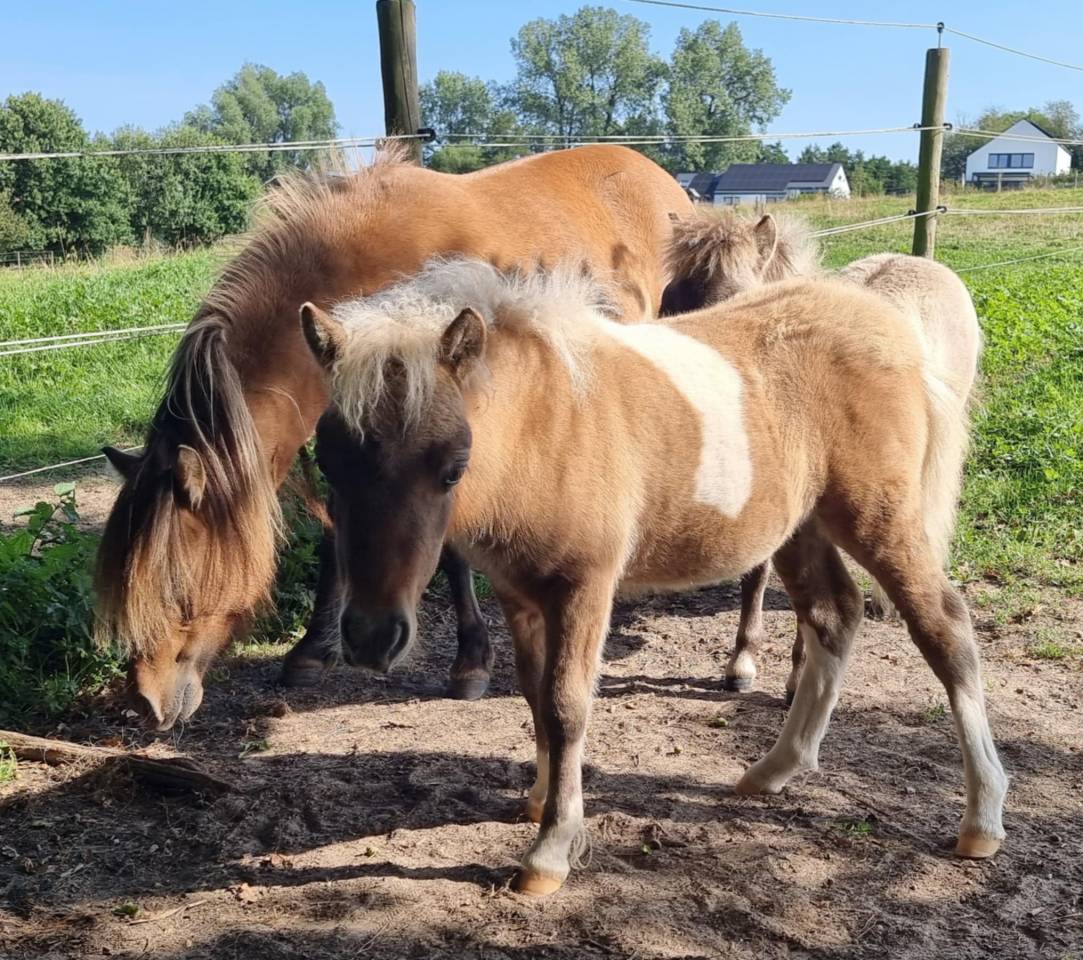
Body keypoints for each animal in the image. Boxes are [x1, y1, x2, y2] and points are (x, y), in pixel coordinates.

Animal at [95, 145, 693, 731]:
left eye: (177, 589)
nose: (145, 701)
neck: (360, 270)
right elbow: (335, 533)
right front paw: (312, 650)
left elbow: (451, 552)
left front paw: (471, 661)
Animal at [303, 258, 1007, 895]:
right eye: (328, 465)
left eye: (453, 466)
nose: (370, 638)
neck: (546, 426)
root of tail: (889, 321)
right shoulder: (518, 593)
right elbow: (533, 694)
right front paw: (538, 798)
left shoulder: (585, 587)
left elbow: (566, 705)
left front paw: (550, 852)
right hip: (801, 526)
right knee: (835, 614)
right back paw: (772, 770)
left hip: (879, 518)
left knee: (945, 629)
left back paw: (982, 820)